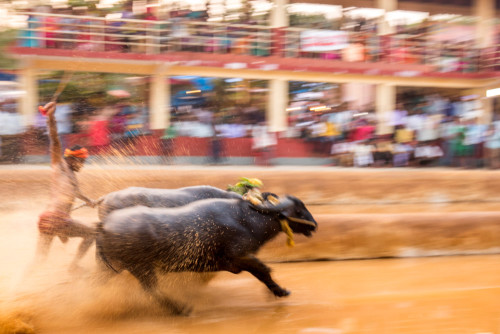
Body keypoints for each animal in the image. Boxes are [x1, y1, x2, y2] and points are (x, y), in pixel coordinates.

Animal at [95, 194, 316, 314]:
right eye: (299, 209)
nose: (314, 225)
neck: (247, 220)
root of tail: (103, 225)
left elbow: (262, 273)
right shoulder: (241, 257)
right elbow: (264, 271)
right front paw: (281, 291)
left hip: (111, 268)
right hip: (141, 268)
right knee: (152, 290)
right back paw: (182, 309)